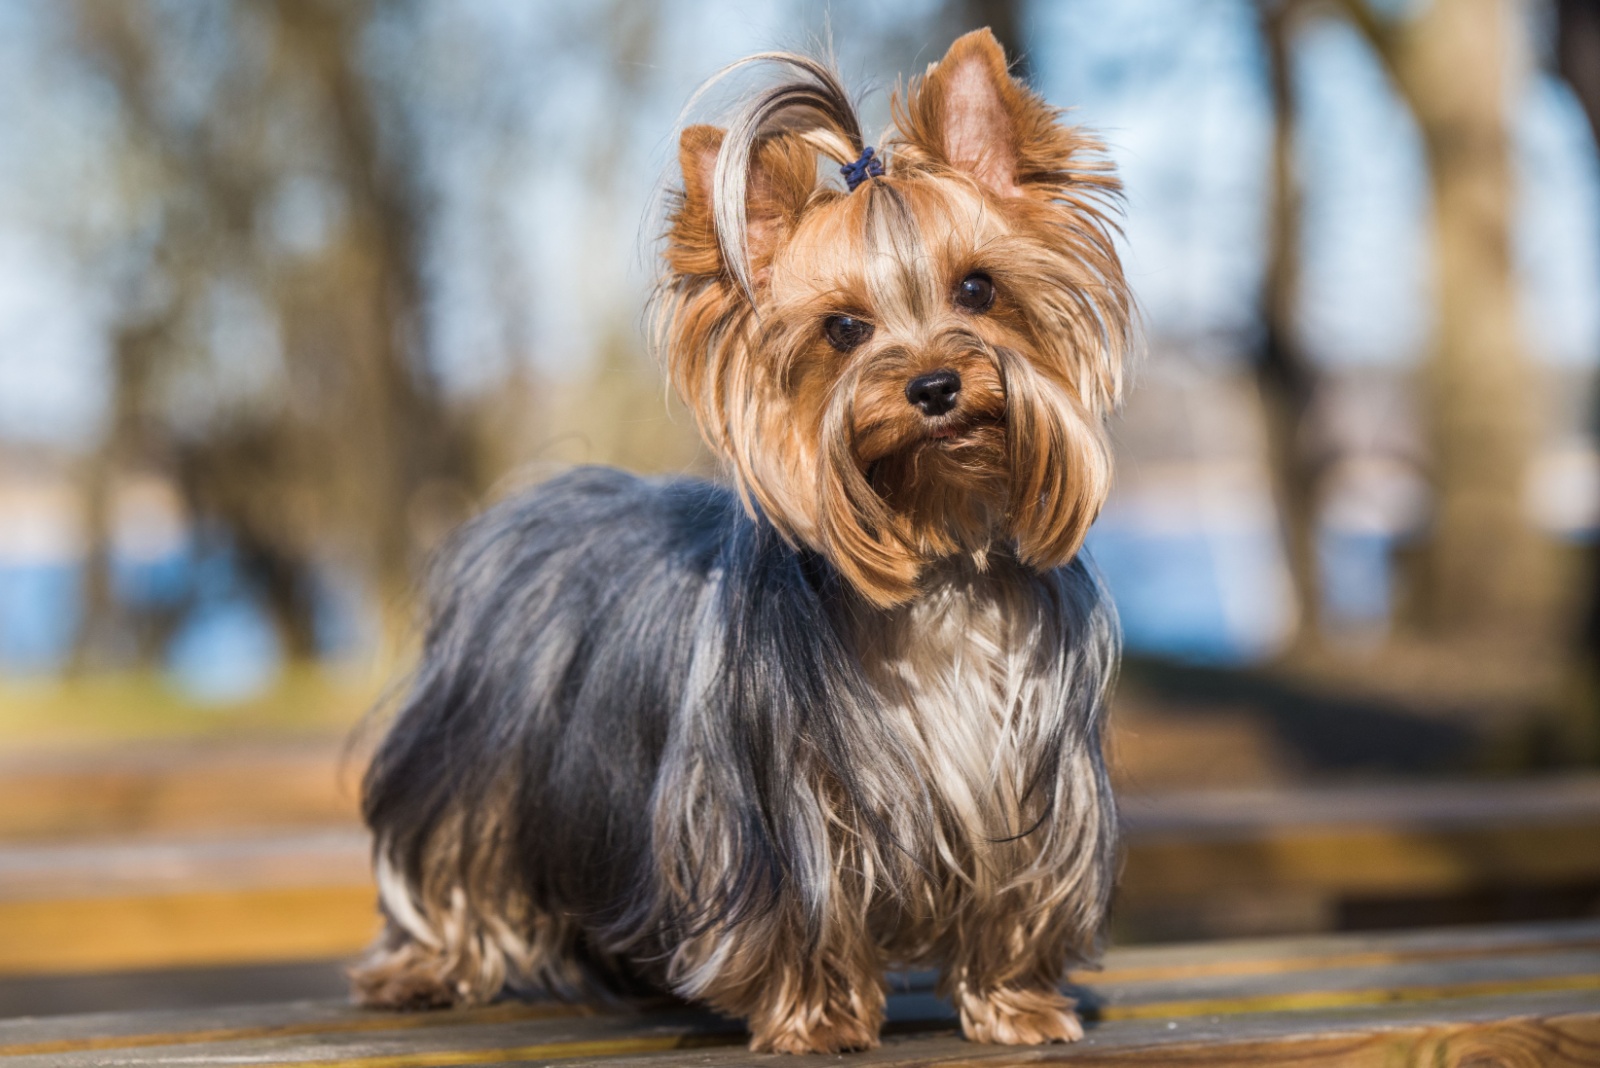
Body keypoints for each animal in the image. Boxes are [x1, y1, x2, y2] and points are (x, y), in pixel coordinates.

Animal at [353, 29, 1126, 1055]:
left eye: (978, 287)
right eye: (843, 329)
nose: (933, 386)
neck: (939, 561)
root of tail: (541, 499)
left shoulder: (1032, 791)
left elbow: (1017, 898)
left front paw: (1019, 1006)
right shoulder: (780, 808)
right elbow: (803, 917)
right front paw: (819, 1019)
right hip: (477, 767)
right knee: (447, 860)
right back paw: (423, 969)